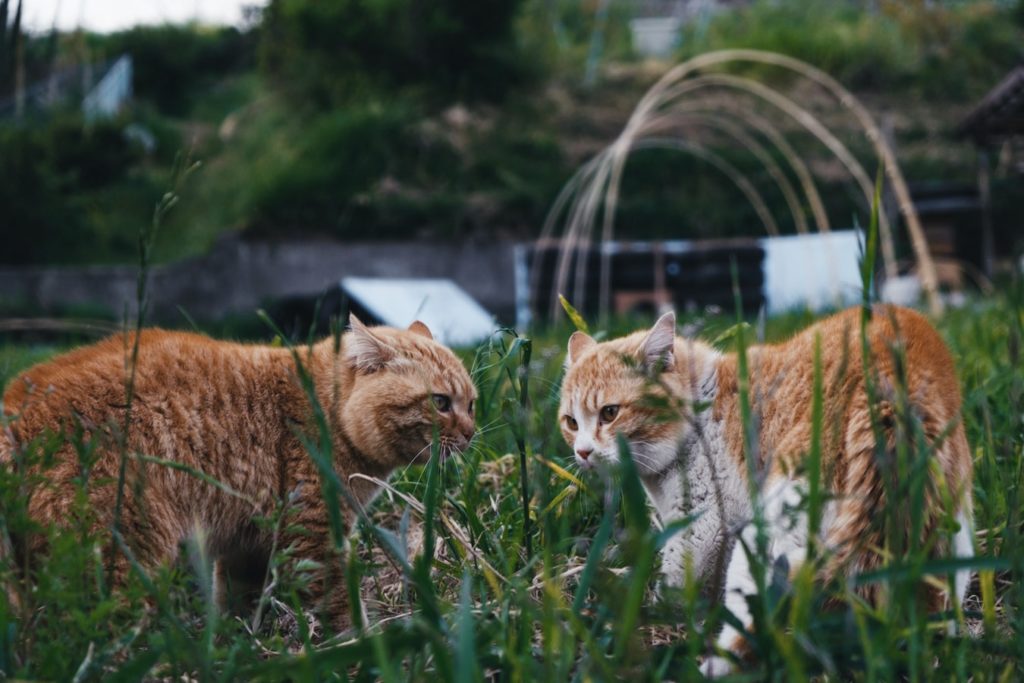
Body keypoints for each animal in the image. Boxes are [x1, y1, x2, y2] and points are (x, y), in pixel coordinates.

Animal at [0, 315, 477, 630]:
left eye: (471, 404)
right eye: (440, 403)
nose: (473, 434)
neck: (326, 412)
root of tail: (15, 409)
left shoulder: (245, 546)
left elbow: (237, 603)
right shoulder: (313, 535)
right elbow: (339, 604)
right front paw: (361, 645)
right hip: (122, 557)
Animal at [561, 307, 974, 675]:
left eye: (610, 413)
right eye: (570, 422)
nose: (582, 452)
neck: (699, 409)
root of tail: (891, 390)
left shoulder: (705, 525)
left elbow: (676, 580)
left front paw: (654, 615)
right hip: (951, 538)